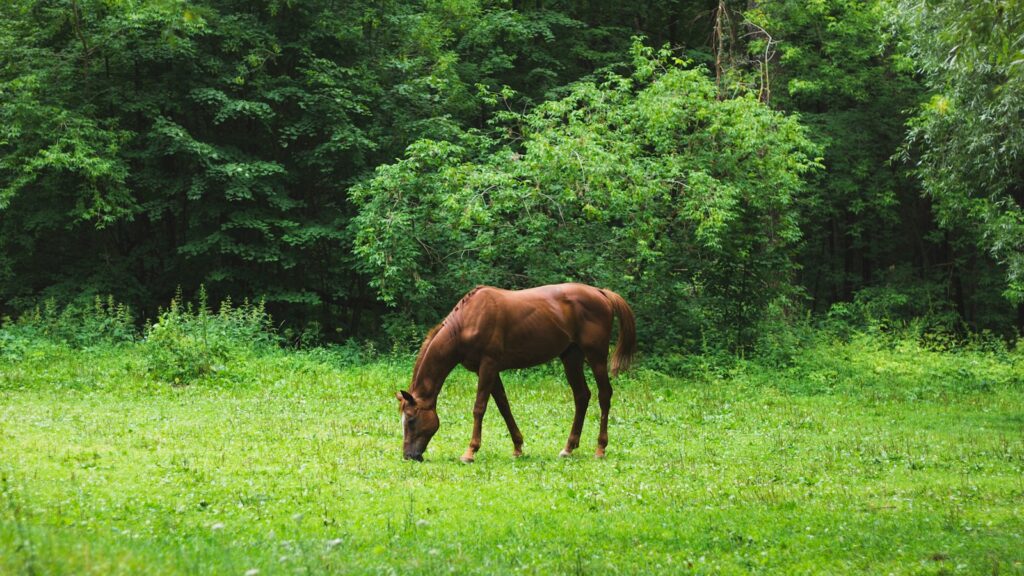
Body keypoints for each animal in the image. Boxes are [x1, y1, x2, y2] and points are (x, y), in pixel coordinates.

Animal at [396, 283, 636, 462]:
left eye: (411, 420)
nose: (409, 456)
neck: (466, 322)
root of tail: (601, 293)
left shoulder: (488, 366)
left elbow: (479, 408)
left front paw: (470, 451)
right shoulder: (489, 371)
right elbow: (504, 406)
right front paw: (518, 447)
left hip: (596, 356)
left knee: (604, 395)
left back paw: (600, 448)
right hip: (571, 357)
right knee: (582, 396)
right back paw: (568, 448)